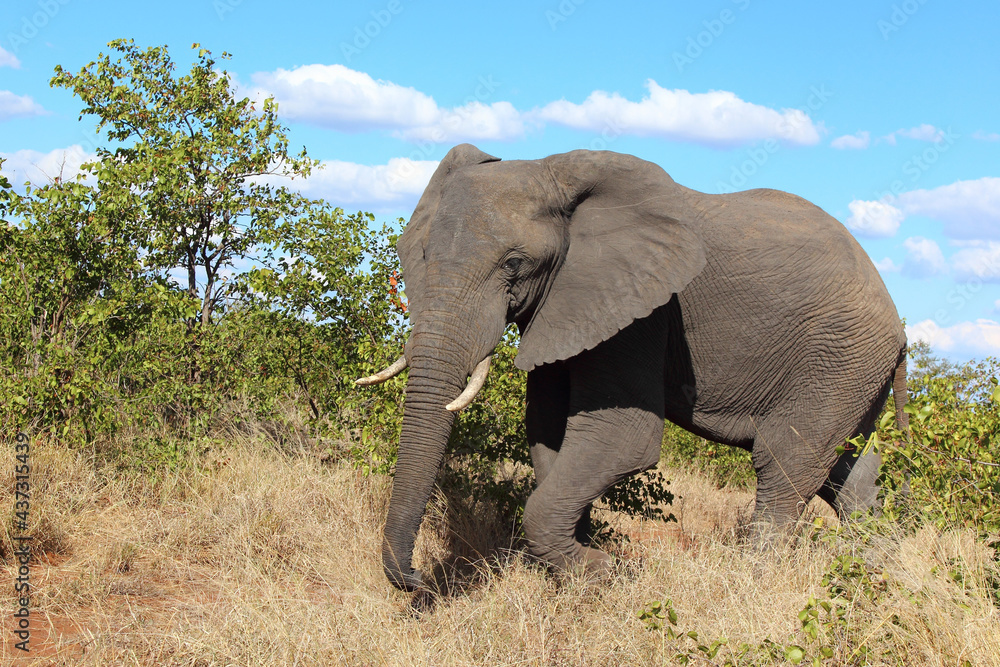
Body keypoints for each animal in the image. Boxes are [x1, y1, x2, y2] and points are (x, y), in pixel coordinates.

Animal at [358, 143, 908, 591]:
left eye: (514, 265)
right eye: (421, 254)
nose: (418, 577)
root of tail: (898, 323)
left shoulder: (643, 310)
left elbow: (621, 437)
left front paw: (606, 573)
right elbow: (548, 431)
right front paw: (577, 569)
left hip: (840, 356)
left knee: (784, 464)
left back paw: (757, 583)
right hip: (855, 366)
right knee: (850, 477)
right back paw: (875, 580)